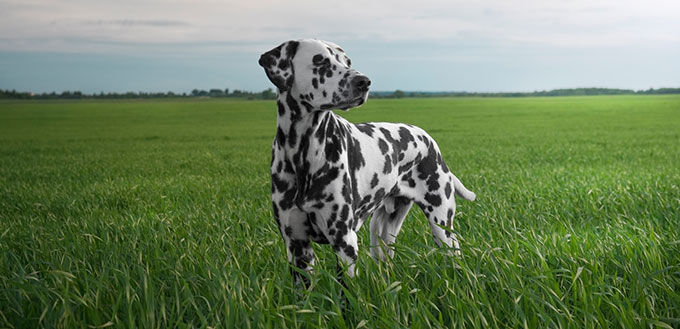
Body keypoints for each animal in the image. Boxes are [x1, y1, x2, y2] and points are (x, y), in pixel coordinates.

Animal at [260, 38, 478, 284]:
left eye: (347, 61)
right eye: (320, 61)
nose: (364, 81)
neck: (303, 153)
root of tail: (428, 138)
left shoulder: (344, 242)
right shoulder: (297, 247)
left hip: (442, 225)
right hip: (382, 230)